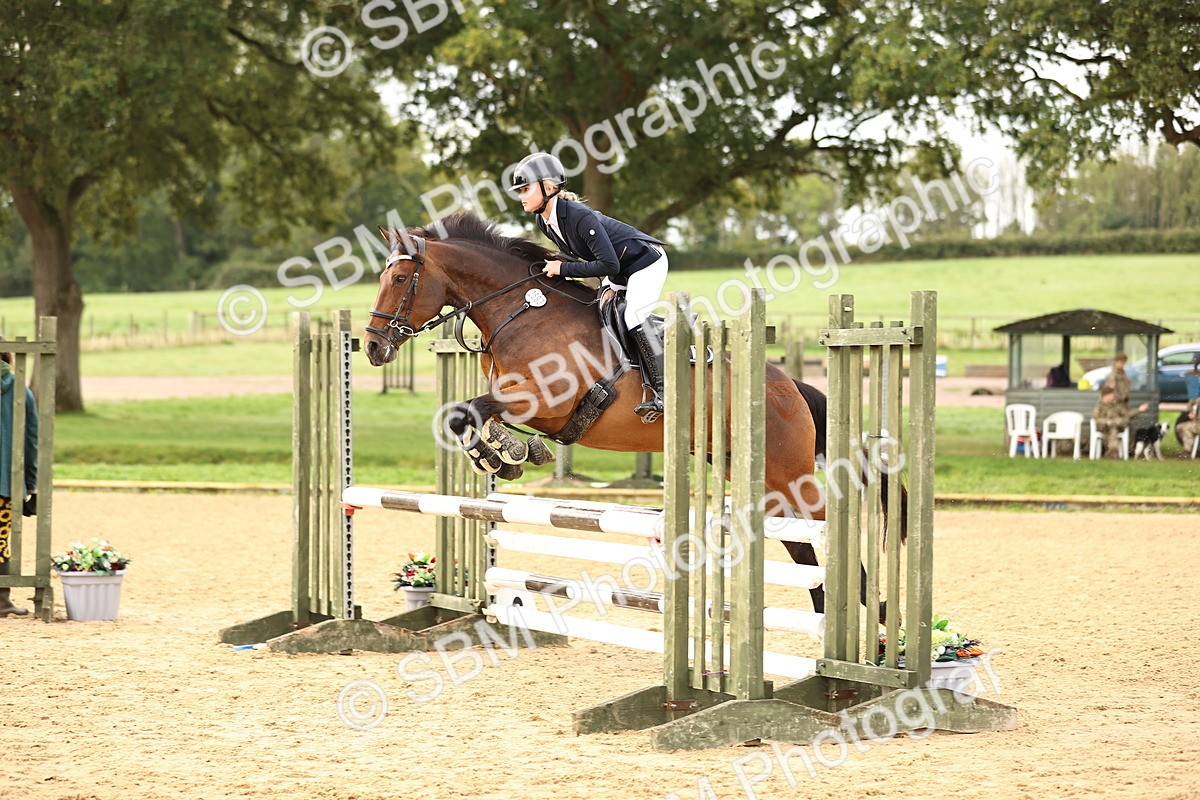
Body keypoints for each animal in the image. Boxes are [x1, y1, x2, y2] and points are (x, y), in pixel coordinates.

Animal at [362, 211, 902, 617]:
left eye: (400, 278)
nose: (371, 347)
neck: (521, 309)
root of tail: (792, 385)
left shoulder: (548, 400)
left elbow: (472, 411)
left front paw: (509, 454)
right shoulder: (515, 394)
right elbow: (465, 414)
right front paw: (509, 453)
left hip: (790, 473)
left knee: (823, 527)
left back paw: (867, 622)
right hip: (756, 476)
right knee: (801, 546)